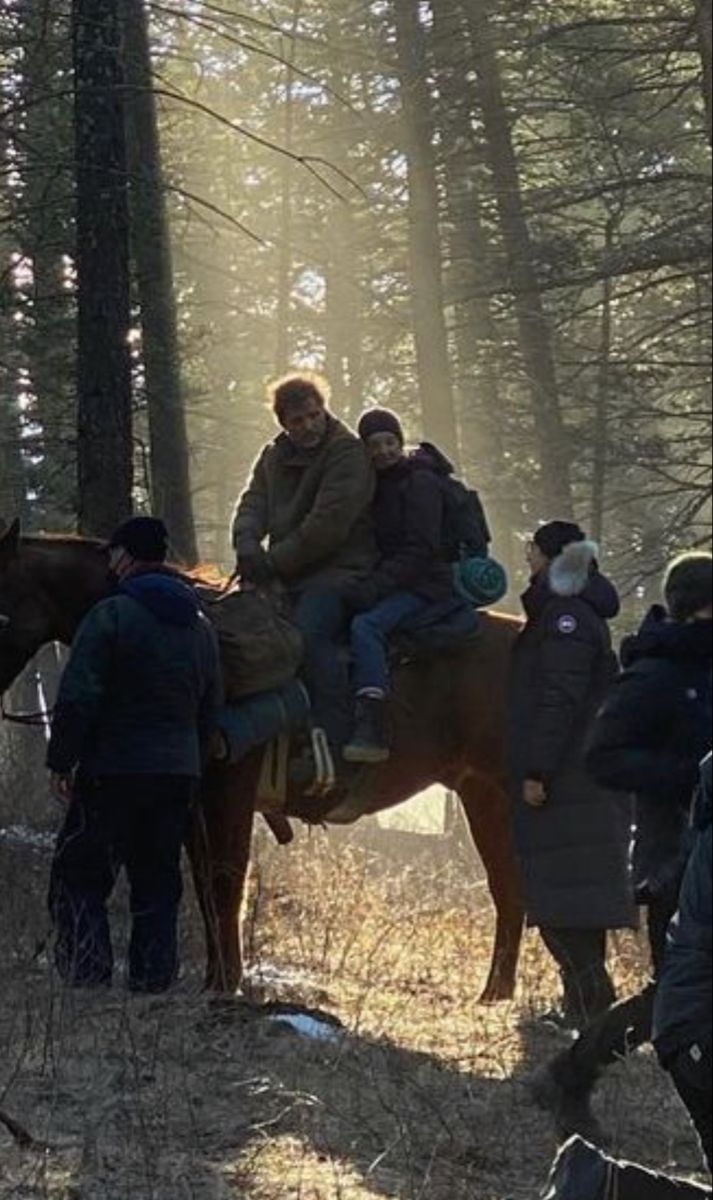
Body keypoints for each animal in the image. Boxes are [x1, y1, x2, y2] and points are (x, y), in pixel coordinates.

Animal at [0, 525, 520, 1003]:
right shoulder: (193, 803)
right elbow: (206, 885)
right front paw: (215, 979)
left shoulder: (231, 789)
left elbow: (227, 878)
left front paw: (226, 984)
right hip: (483, 797)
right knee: (508, 889)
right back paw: (495, 995)